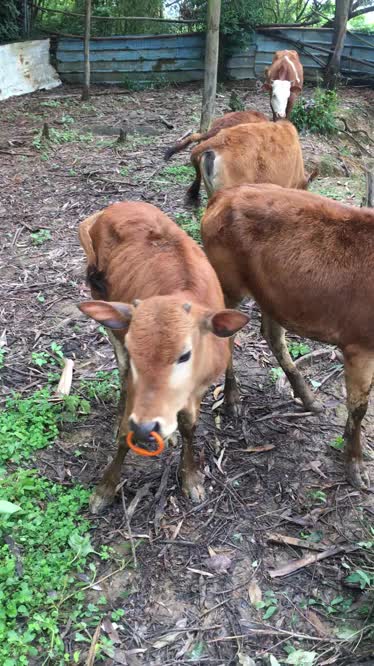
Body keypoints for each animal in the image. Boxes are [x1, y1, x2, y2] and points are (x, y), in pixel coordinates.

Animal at [78, 200, 248, 510]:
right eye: (136, 352)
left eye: (184, 355)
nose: (147, 428)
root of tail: (112, 209)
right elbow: (126, 429)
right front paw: (104, 489)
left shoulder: (196, 390)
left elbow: (189, 426)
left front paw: (191, 478)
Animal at [203, 182, 374, 488]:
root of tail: (223, 195)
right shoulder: (359, 345)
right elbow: (359, 407)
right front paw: (356, 466)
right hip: (227, 284)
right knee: (226, 337)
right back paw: (233, 400)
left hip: (272, 295)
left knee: (271, 334)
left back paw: (308, 399)